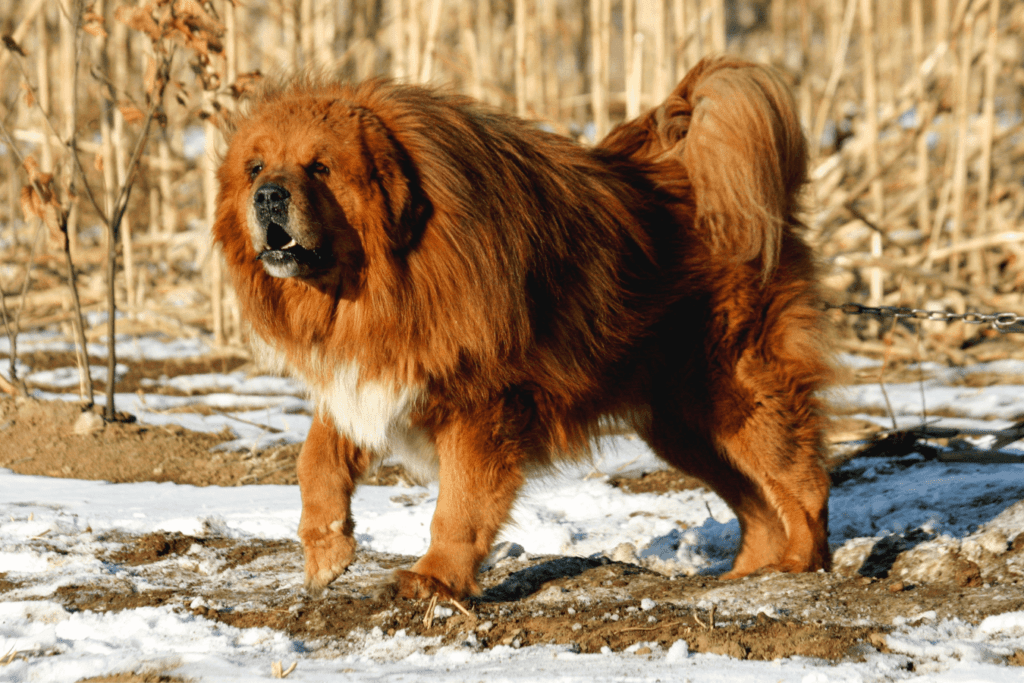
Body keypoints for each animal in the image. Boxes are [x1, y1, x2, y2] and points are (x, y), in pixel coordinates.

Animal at [214, 57, 831, 598]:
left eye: (320, 167)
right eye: (256, 167)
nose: (268, 196)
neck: (383, 285)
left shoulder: (482, 406)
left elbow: (458, 507)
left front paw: (434, 580)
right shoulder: (368, 375)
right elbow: (315, 460)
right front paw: (326, 550)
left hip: (738, 393)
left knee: (804, 484)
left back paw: (801, 567)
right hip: (684, 425)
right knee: (758, 506)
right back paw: (747, 576)